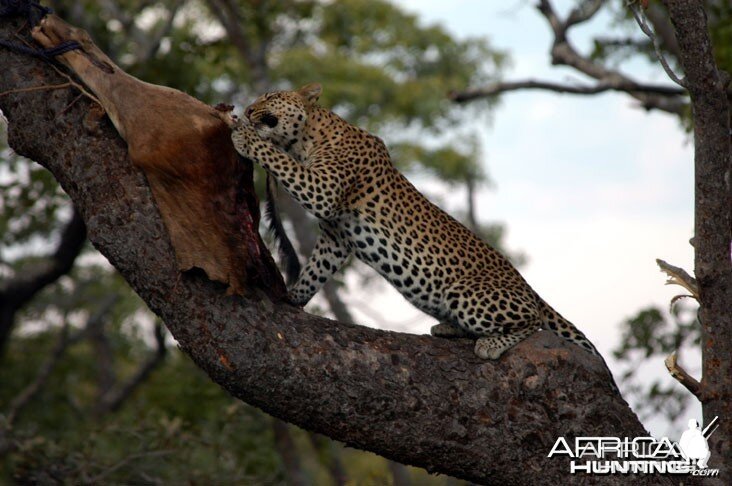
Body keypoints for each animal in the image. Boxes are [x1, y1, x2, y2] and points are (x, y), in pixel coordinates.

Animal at [233, 83, 616, 386]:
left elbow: (277, 158)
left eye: (269, 97)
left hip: (467, 294)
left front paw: (242, 134)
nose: (248, 109)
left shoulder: (322, 189)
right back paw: (448, 329)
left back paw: (489, 344)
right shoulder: (336, 236)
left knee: (533, 321)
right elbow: (317, 270)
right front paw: (294, 296)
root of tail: (529, 289)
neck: (308, 138)